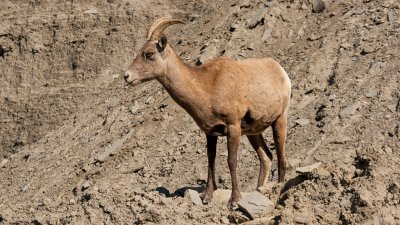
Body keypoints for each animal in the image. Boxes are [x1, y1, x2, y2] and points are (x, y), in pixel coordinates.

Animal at [124, 17, 290, 206]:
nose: (127, 76)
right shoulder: (210, 133)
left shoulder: (233, 127)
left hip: (279, 120)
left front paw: (234, 200)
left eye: (150, 54)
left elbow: (231, 161)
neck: (208, 87)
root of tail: (280, 70)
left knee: (281, 158)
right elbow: (211, 161)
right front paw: (207, 197)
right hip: (253, 132)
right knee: (266, 157)